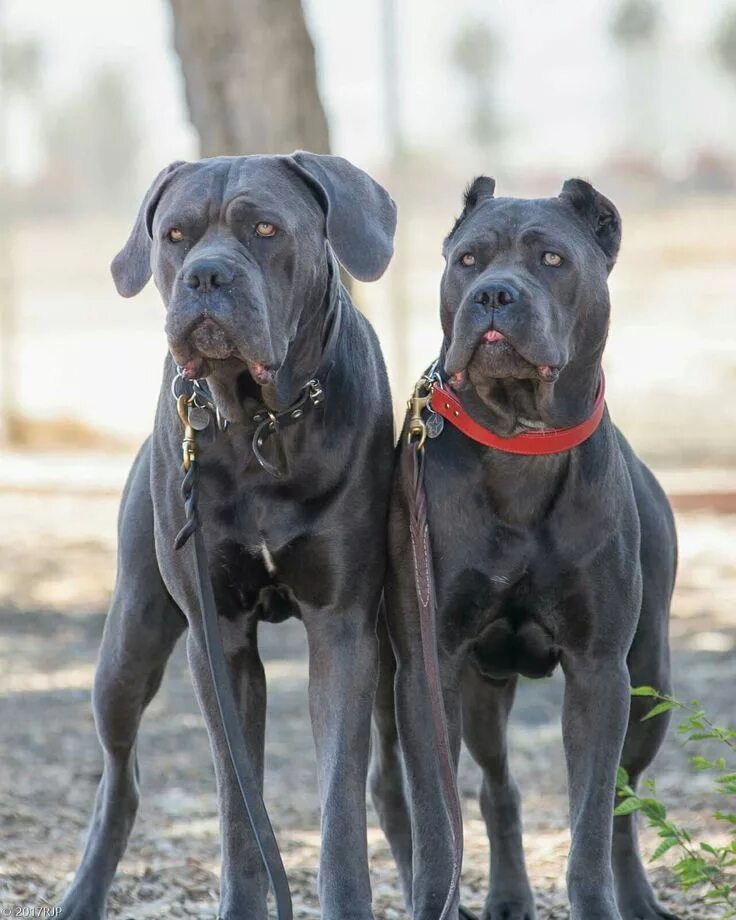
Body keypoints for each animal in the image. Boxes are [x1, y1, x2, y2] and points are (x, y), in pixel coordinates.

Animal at [59, 153, 396, 920]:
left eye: (264, 229)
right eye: (175, 235)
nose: (207, 277)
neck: (261, 422)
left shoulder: (342, 628)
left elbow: (339, 804)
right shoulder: (220, 641)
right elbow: (240, 809)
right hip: (129, 643)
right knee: (120, 779)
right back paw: (82, 892)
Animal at [370, 176, 676, 920]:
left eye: (552, 259)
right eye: (468, 261)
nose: (494, 295)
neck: (519, 443)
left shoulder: (600, 670)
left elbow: (593, 820)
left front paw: (599, 904)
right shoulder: (428, 663)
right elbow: (438, 820)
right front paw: (435, 900)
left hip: (649, 678)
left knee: (623, 803)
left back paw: (634, 898)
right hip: (441, 681)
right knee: (471, 789)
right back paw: (501, 895)